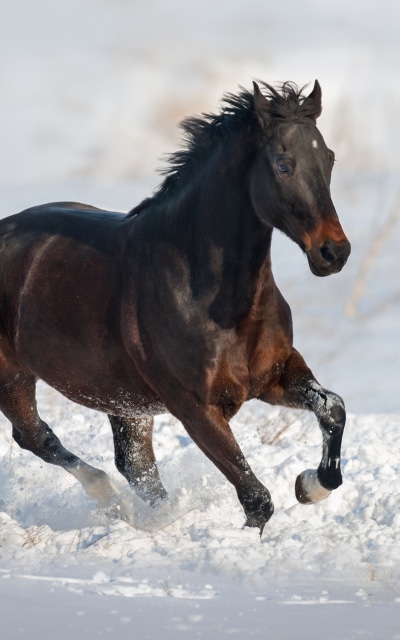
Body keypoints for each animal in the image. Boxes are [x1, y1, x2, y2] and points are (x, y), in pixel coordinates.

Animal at [0, 80, 350, 534]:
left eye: (329, 158)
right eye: (282, 164)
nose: (334, 253)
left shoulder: (276, 375)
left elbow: (332, 408)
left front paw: (309, 486)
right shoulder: (195, 407)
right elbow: (256, 499)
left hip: (125, 404)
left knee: (135, 466)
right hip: (13, 379)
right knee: (37, 437)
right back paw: (109, 499)